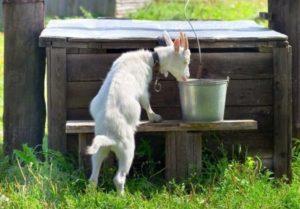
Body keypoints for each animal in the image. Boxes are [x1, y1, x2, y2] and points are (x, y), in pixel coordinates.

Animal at [86, 31, 190, 194]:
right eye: (185, 61)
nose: (187, 77)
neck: (149, 59)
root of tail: (110, 137)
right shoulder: (142, 88)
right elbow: (146, 102)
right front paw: (154, 117)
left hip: (98, 149)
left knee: (93, 178)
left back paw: (91, 195)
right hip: (127, 149)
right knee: (119, 178)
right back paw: (123, 196)